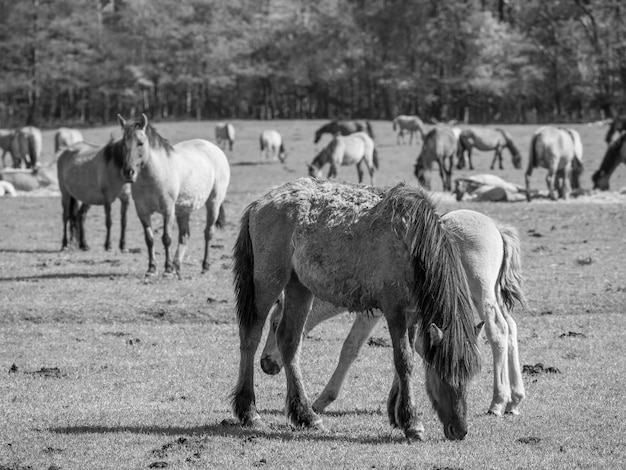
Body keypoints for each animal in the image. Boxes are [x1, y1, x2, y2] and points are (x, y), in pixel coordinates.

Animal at [117, 113, 229, 276]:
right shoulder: (142, 211)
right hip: (184, 210)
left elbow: (166, 238)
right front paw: (152, 268)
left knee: (208, 233)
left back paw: (204, 266)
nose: (128, 172)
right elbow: (149, 239)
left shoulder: (168, 210)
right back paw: (177, 266)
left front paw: (167, 269)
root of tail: (215, 149)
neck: (153, 177)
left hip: (213, 203)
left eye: (140, 143)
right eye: (122, 145)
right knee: (184, 236)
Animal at [232, 178, 480, 442]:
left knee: (289, 342)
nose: (460, 430)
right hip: (268, 281)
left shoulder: (412, 315)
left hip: (299, 286)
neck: (412, 242)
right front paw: (412, 423)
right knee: (250, 337)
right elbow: (403, 360)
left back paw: (306, 416)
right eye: (444, 373)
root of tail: (261, 202)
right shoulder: (395, 311)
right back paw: (250, 413)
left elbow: (409, 357)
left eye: (469, 373)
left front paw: (399, 415)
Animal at [260, 207, 524, 416]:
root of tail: (496, 228)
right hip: (492, 295)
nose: (265, 364)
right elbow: (414, 347)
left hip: (481, 293)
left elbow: (350, 348)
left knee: (498, 330)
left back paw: (498, 402)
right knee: (511, 327)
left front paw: (323, 400)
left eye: (275, 325)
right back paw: (515, 399)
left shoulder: (373, 312)